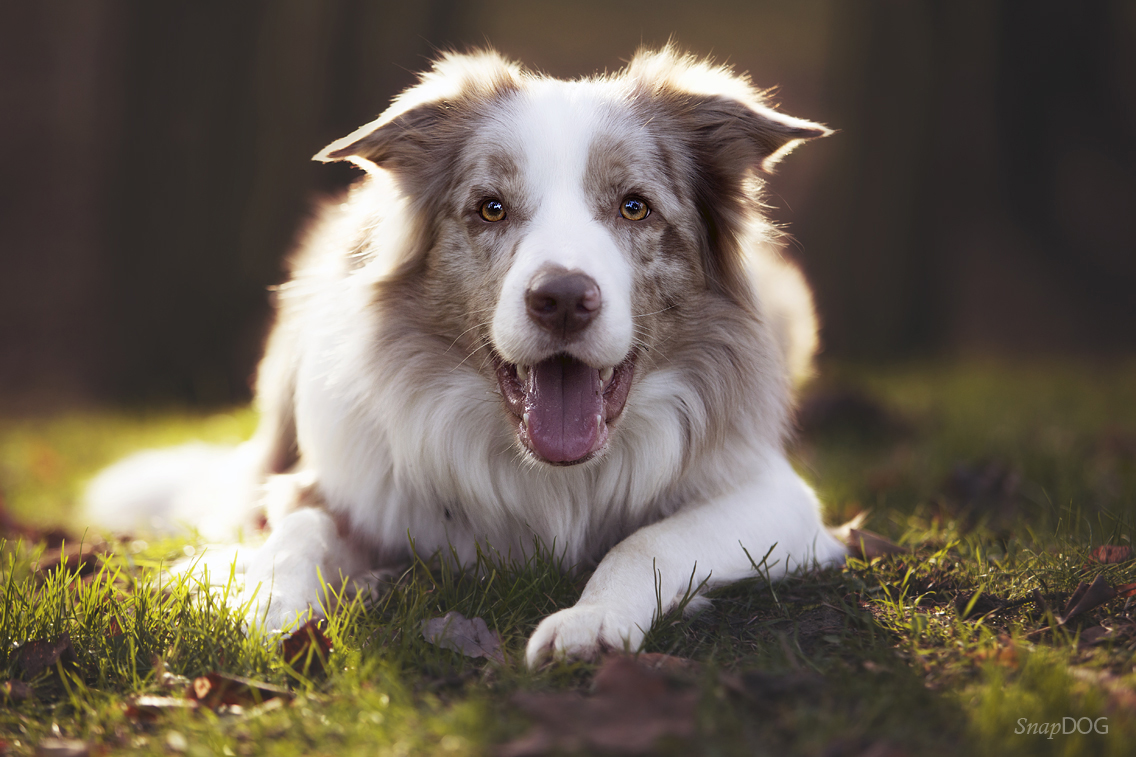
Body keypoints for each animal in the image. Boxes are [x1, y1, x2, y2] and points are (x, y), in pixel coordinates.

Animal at [84, 47, 849, 663]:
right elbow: (299, 528)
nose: (562, 298)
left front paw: (591, 620)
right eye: (490, 208)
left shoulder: (779, 498)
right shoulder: (336, 483)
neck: (551, 483)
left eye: (635, 207)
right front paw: (269, 604)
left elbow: (647, 541)